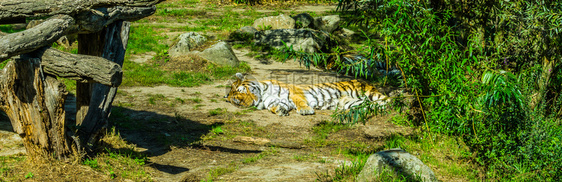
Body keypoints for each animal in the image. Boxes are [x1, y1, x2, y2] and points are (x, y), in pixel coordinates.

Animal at [223, 72, 384, 116]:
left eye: (243, 91)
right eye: (238, 101)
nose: (251, 102)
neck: (263, 96)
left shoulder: (293, 91)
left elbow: (299, 101)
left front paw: (305, 110)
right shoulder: (273, 101)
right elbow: (275, 106)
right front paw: (280, 111)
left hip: (370, 94)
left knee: (387, 101)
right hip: (352, 102)